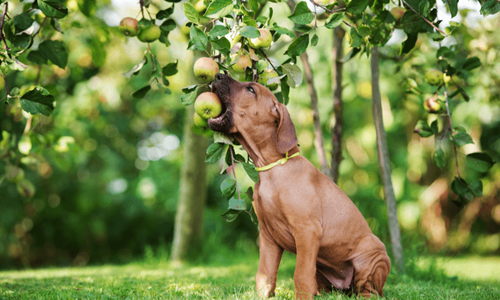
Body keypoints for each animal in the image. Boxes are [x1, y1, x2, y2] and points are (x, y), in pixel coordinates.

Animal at [207, 74, 390, 298]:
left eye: (251, 89)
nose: (218, 75)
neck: (272, 169)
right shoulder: (268, 236)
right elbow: (264, 275)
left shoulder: (307, 231)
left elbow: (300, 274)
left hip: (372, 252)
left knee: (369, 289)